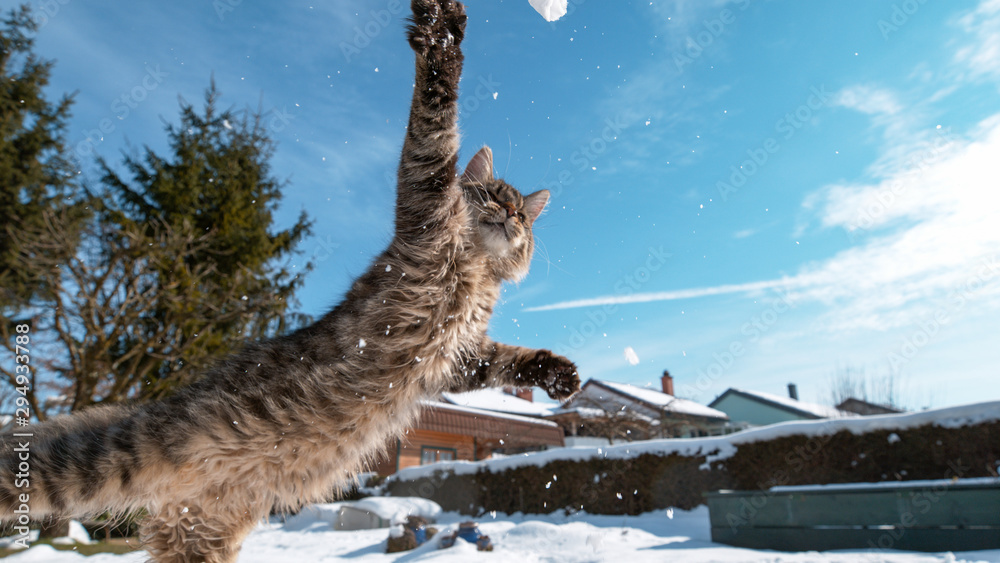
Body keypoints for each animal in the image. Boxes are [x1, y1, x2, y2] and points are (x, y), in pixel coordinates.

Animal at [0, 2, 580, 560]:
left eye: (523, 217)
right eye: (495, 196)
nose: (511, 217)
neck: (477, 269)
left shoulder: (457, 355)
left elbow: (506, 361)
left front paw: (560, 376)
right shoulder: (427, 198)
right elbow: (437, 110)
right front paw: (442, 32)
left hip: (197, 535)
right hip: (87, 462)